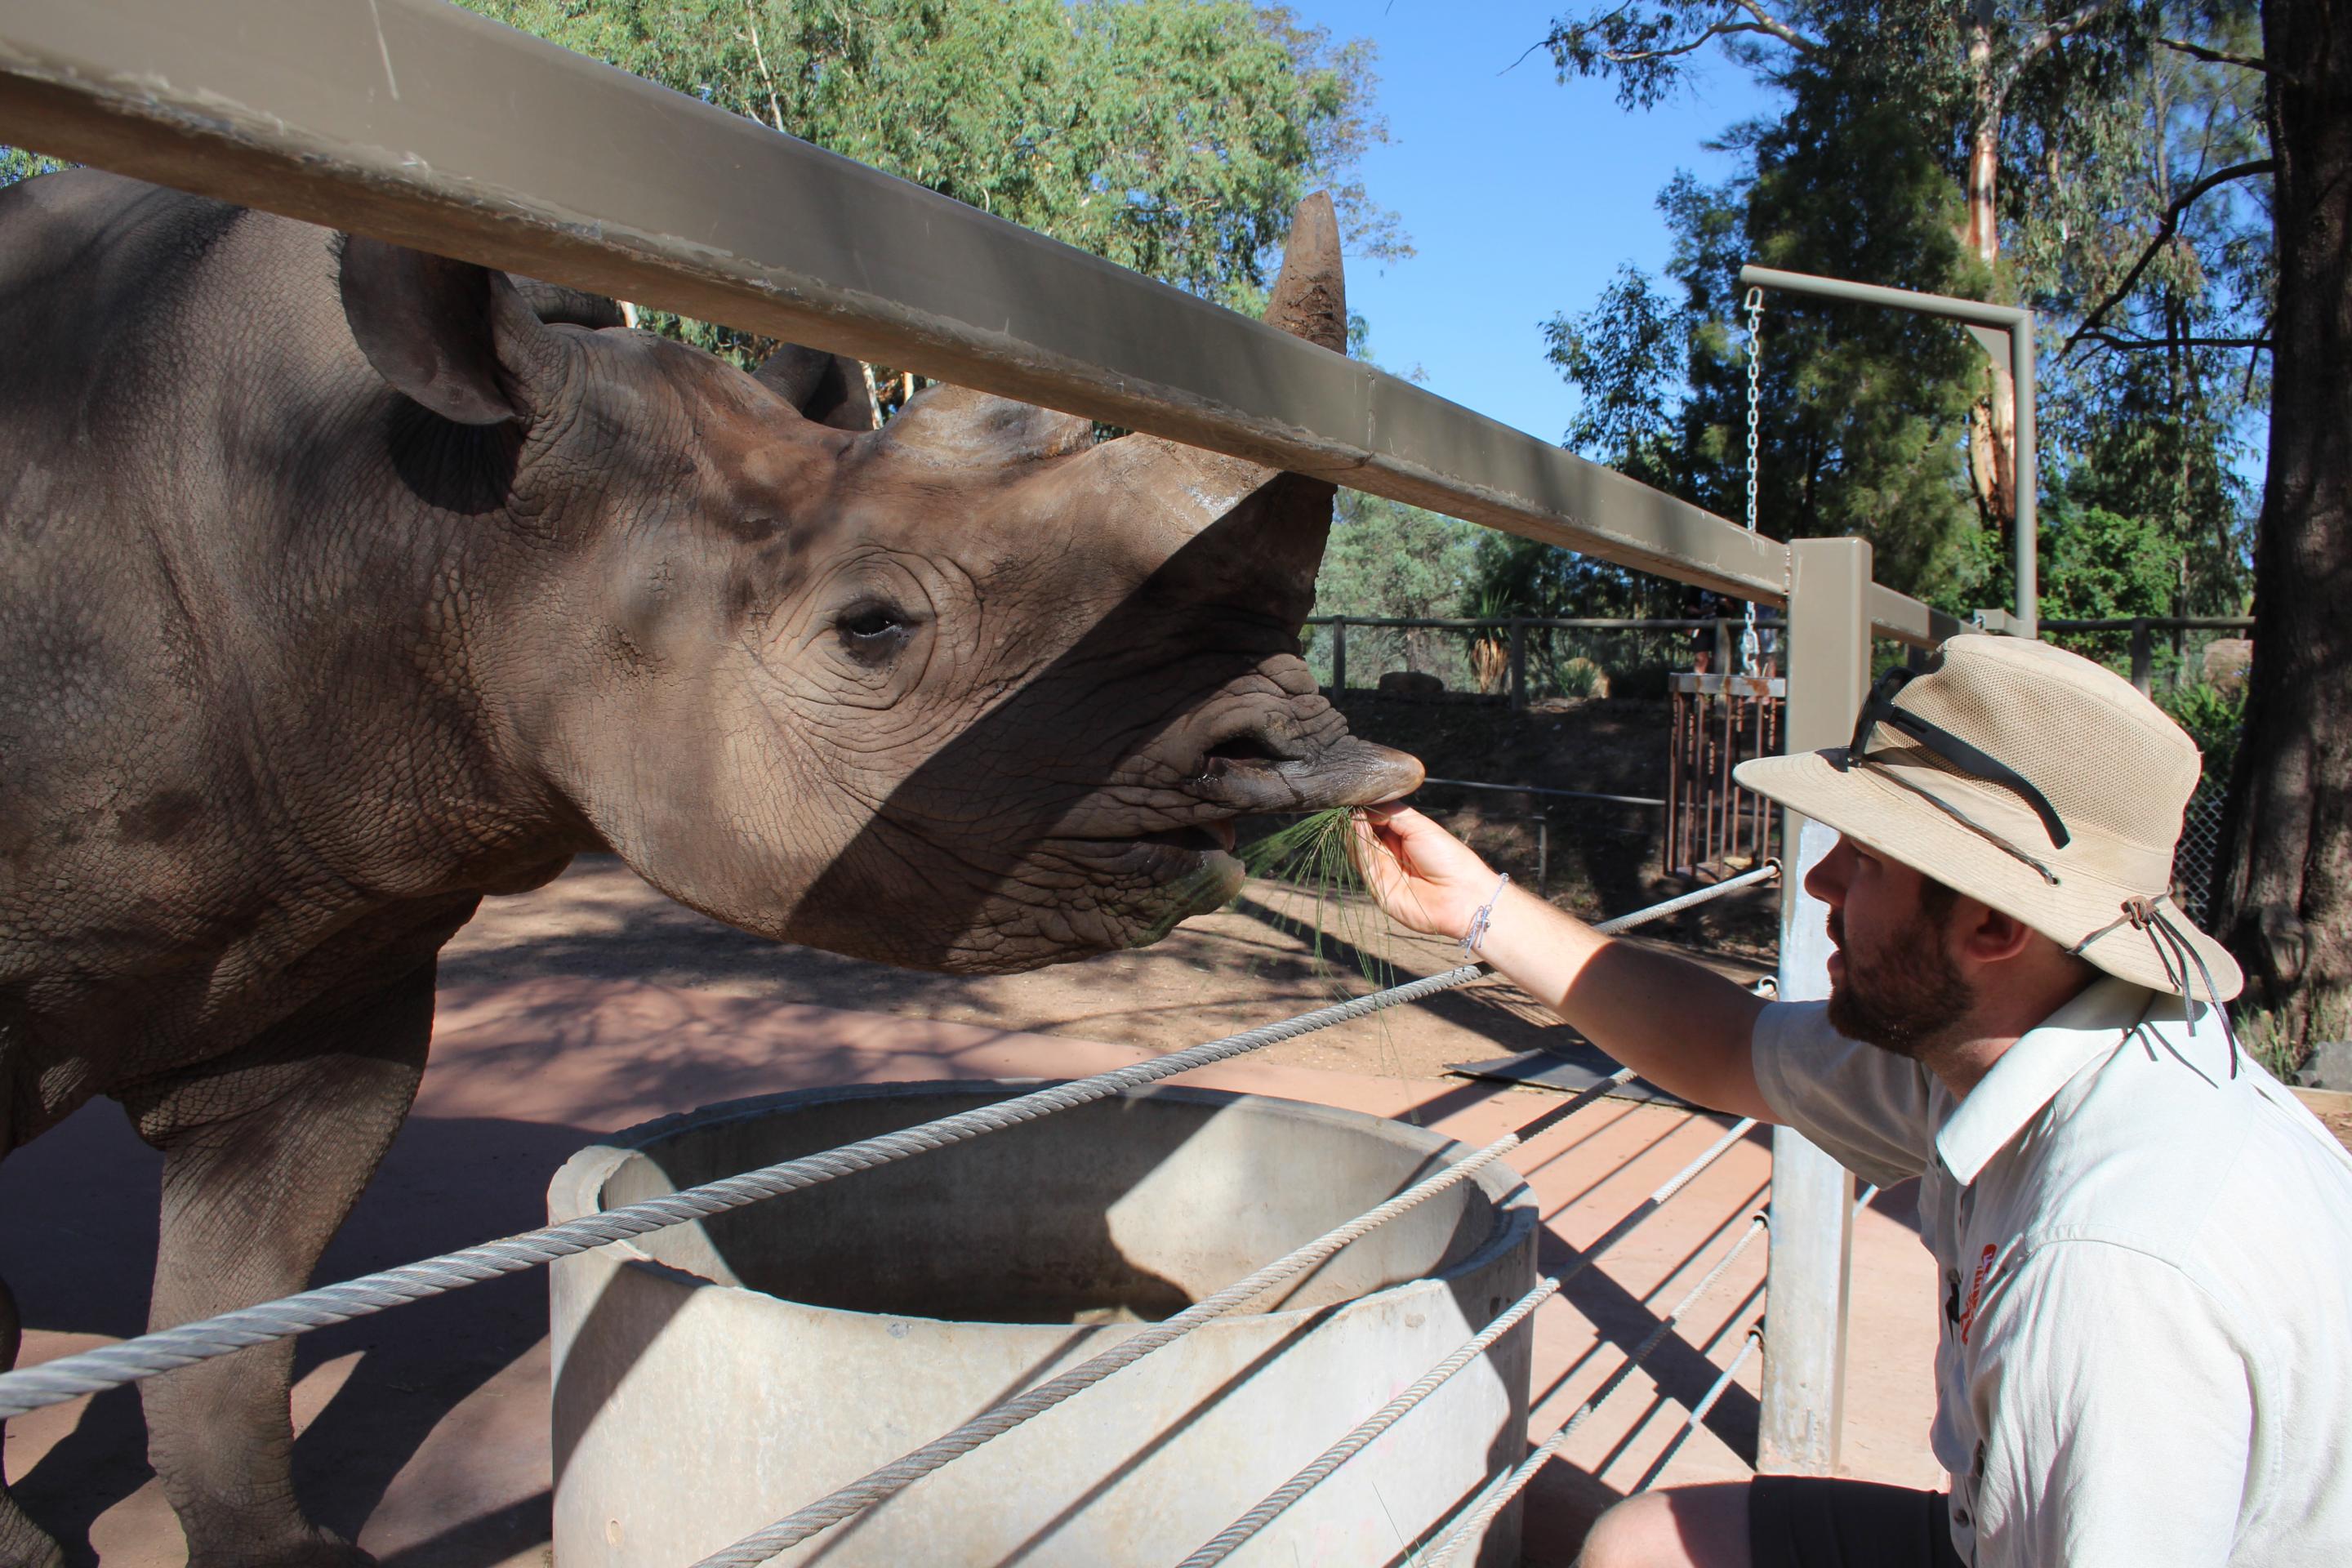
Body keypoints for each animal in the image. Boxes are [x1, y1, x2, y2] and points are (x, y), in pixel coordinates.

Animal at [0, 167, 1419, 1567]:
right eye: (870, 629)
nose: (1301, 750)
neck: (431, 531)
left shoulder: (340, 949)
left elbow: (240, 1307)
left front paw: (284, 1554)